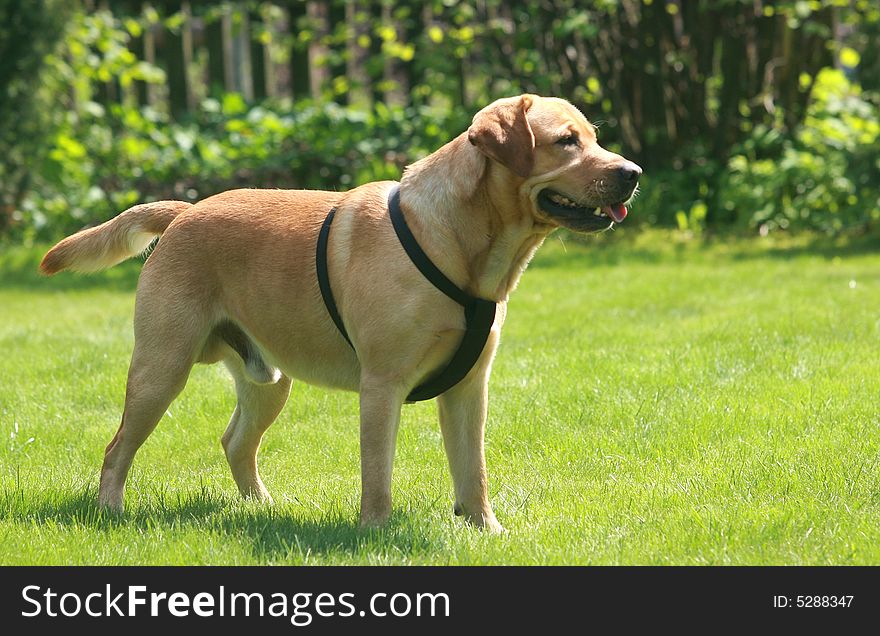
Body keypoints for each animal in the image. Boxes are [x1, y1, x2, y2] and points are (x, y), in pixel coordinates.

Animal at [39, 94, 640, 532]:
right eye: (566, 141)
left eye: (595, 137)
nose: (633, 171)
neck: (466, 247)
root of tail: (185, 211)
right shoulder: (383, 385)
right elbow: (378, 474)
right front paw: (375, 534)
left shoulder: (470, 387)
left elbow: (474, 472)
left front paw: (485, 531)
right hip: (162, 368)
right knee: (116, 448)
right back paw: (112, 512)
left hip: (268, 379)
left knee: (235, 442)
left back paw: (262, 507)